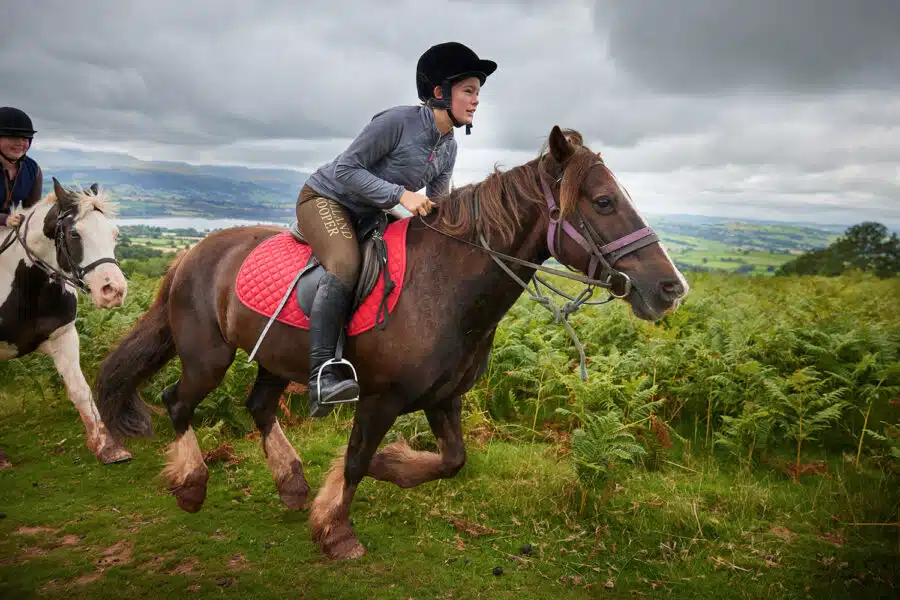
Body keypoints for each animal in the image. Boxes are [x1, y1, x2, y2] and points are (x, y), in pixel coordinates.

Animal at [95, 125, 688, 556]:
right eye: (604, 202)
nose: (671, 288)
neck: (445, 287)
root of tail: (192, 253)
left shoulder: (443, 400)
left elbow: (451, 461)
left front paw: (390, 465)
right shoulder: (380, 399)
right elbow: (357, 459)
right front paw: (336, 528)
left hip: (275, 359)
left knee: (258, 406)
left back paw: (291, 483)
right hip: (208, 358)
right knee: (177, 403)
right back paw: (192, 485)